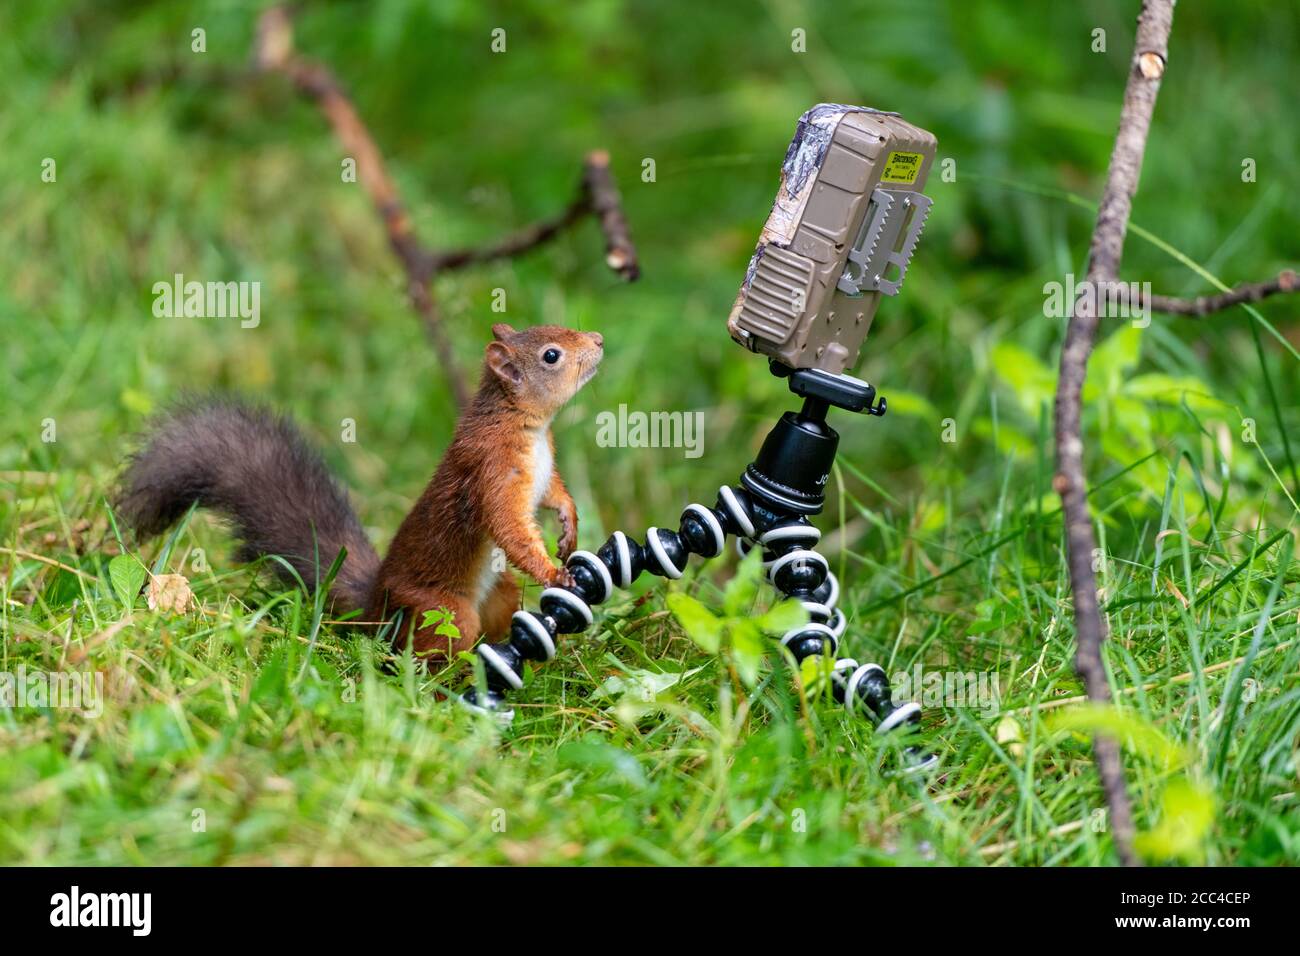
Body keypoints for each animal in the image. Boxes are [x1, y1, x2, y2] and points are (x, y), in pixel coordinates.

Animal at [116, 325, 603, 660]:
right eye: (552, 355)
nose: (598, 340)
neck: (529, 427)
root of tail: (375, 606)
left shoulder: (542, 472)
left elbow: (553, 494)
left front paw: (569, 525)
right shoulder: (492, 471)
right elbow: (509, 526)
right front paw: (555, 573)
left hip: (498, 594)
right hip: (441, 610)